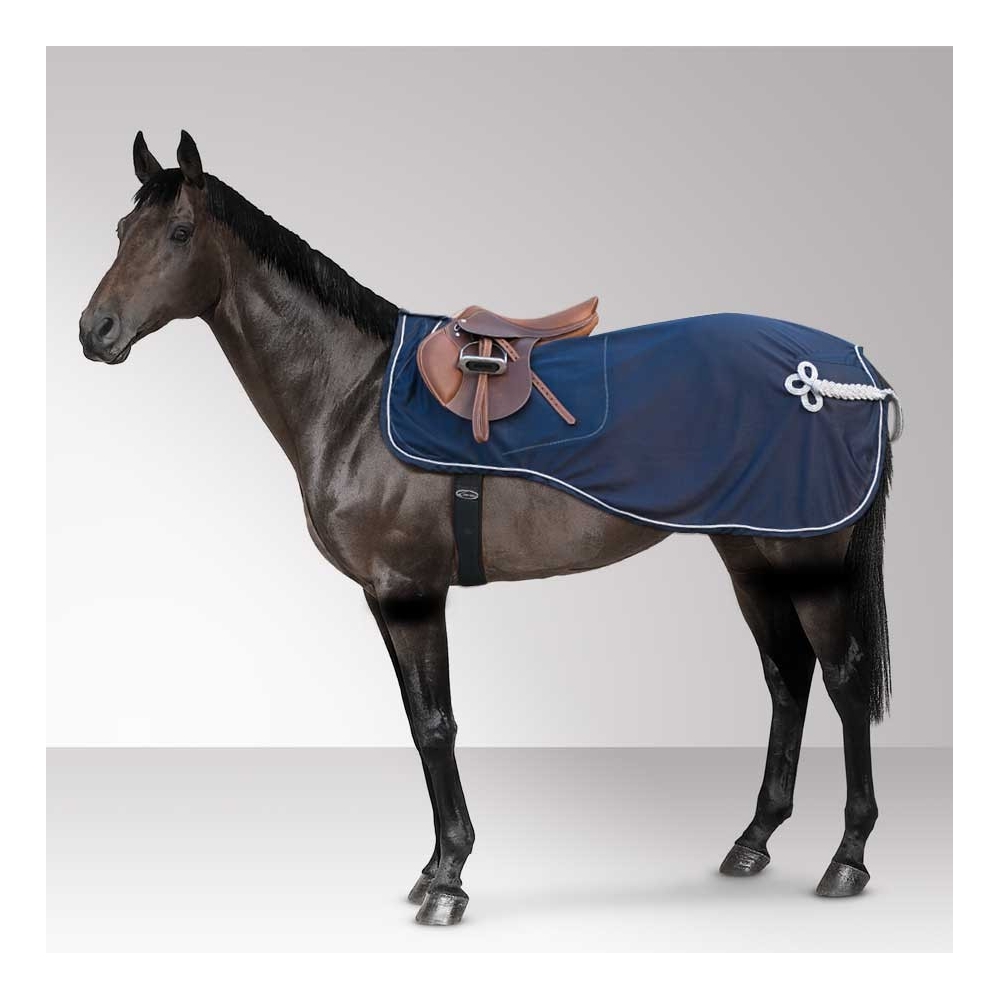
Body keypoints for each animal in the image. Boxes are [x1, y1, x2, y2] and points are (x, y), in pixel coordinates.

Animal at [78, 131, 896, 926]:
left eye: (180, 233)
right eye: (122, 230)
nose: (95, 330)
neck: (352, 396)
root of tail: (849, 370)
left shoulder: (410, 592)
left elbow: (436, 726)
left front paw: (448, 879)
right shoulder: (384, 597)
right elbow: (419, 721)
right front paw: (434, 868)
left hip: (809, 564)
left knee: (844, 680)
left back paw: (847, 859)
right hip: (749, 557)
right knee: (786, 678)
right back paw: (753, 840)